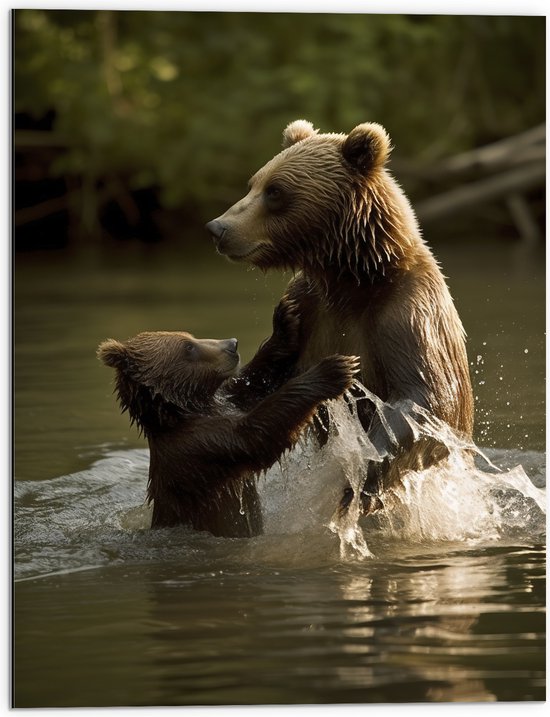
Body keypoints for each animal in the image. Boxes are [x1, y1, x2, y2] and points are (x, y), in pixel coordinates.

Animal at [207, 119, 474, 516]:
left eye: (275, 191)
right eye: (253, 183)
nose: (218, 228)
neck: (352, 278)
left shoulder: (406, 311)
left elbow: (428, 398)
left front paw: (359, 477)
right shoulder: (313, 306)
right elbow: (255, 394)